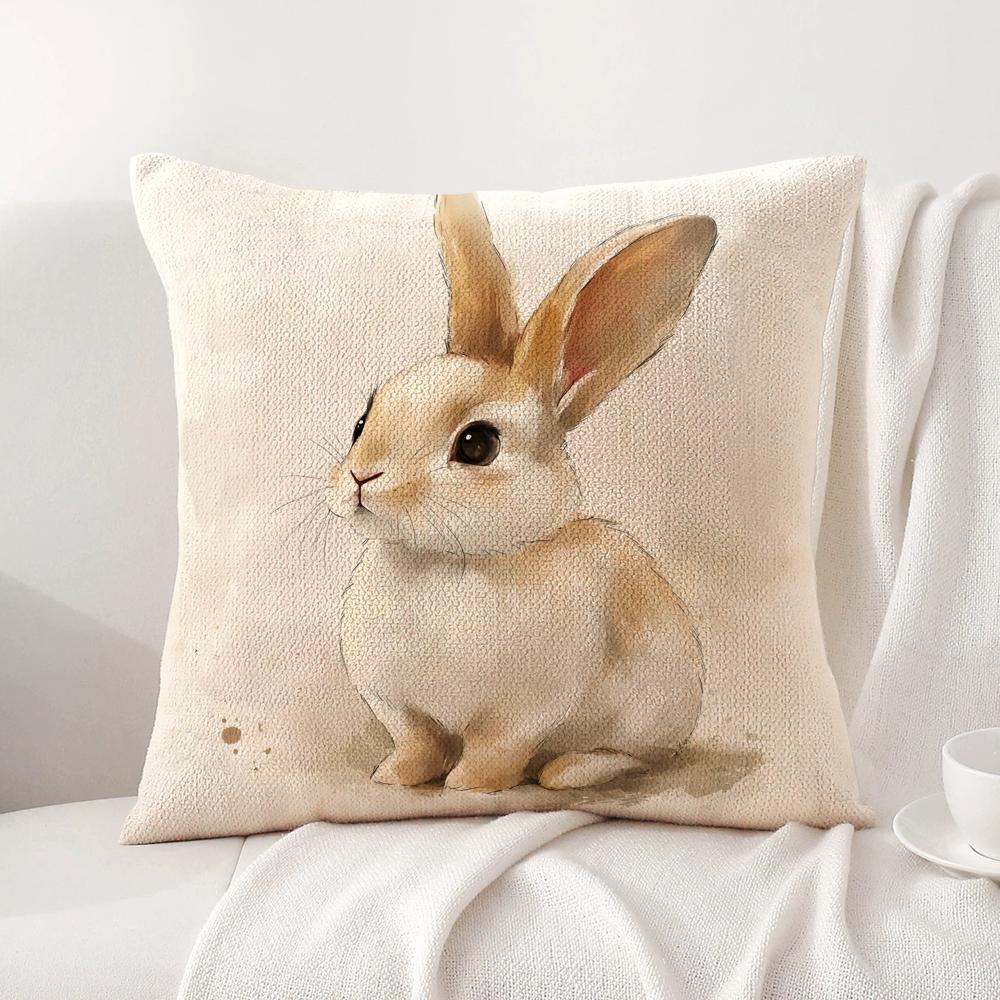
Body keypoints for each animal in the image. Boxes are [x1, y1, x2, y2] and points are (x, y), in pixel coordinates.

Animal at [331, 193, 716, 793]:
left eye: (477, 445)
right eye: (362, 420)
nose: (361, 477)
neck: (445, 561)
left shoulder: (522, 714)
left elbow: (495, 751)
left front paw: (469, 786)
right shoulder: (400, 708)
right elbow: (417, 743)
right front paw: (393, 777)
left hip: (653, 715)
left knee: (632, 757)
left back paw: (568, 771)